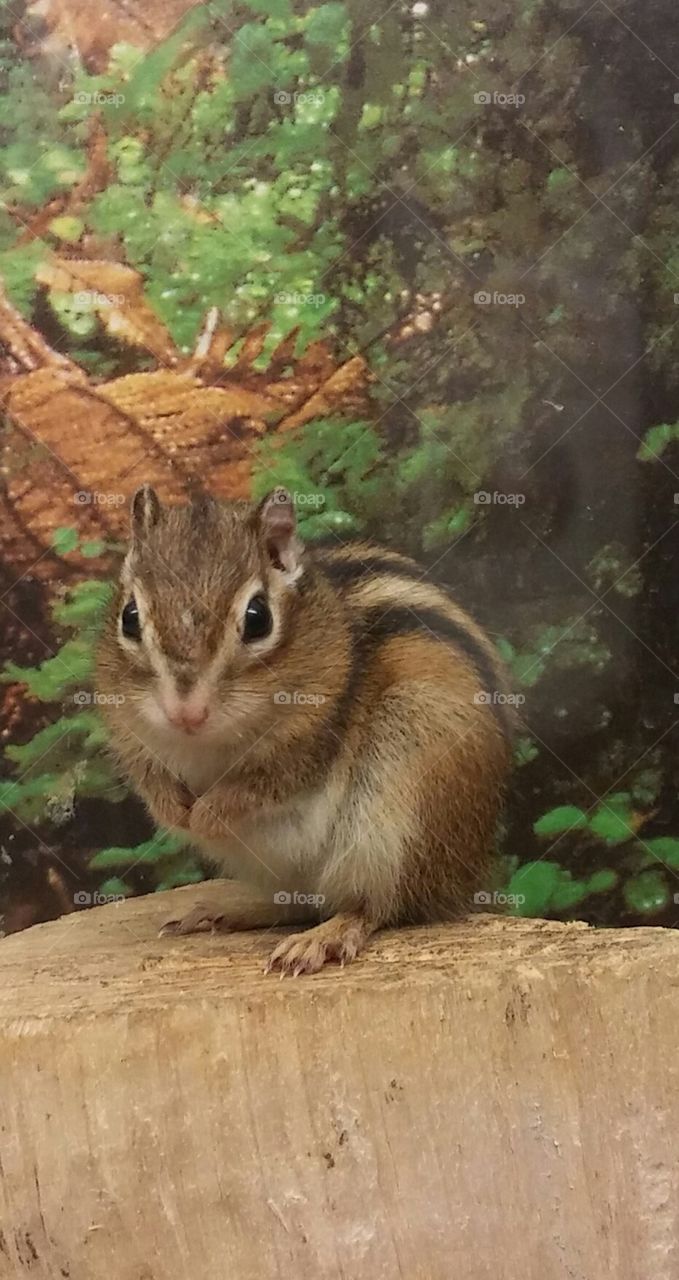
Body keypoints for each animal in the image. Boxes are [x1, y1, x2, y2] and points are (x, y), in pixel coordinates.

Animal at [95, 484, 514, 975]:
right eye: (129, 616)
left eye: (258, 617)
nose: (186, 713)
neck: (207, 745)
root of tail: (464, 879)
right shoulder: (130, 733)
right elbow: (149, 777)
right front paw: (173, 810)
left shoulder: (311, 740)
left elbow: (264, 783)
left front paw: (205, 815)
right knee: (298, 903)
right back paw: (227, 911)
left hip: (404, 810)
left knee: (381, 905)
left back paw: (323, 937)